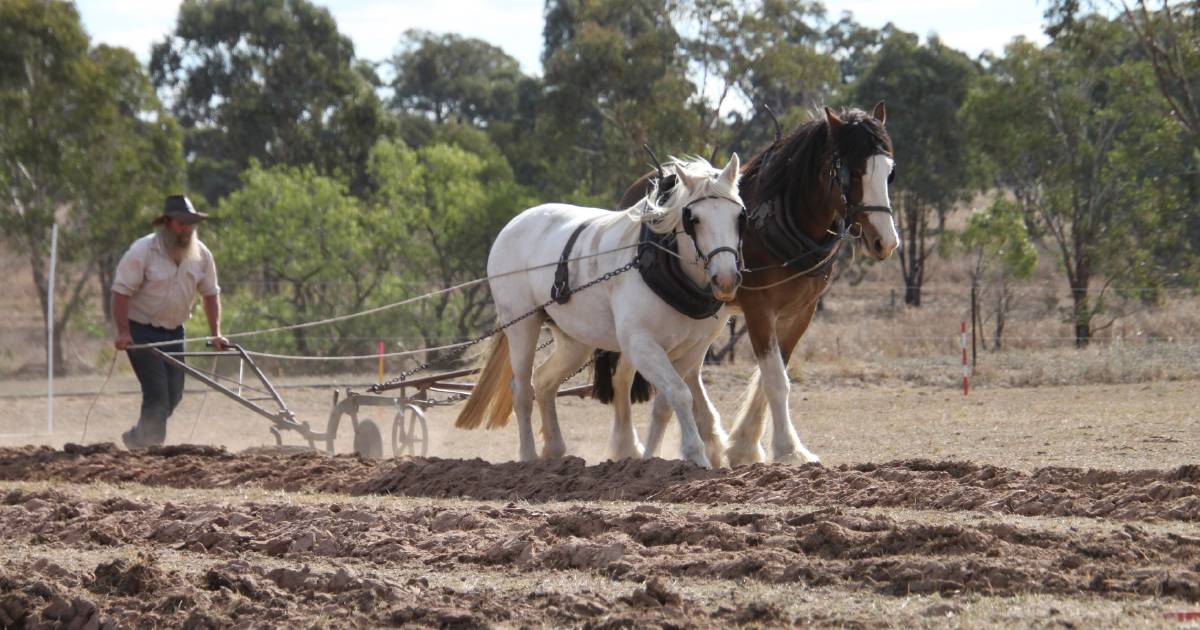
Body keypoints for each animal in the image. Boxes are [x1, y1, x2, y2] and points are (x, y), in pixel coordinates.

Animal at [456, 153, 739, 465]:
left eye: (739, 216)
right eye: (695, 219)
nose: (726, 279)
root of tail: (514, 223)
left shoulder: (694, 349)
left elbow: (667, 402)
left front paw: (649, 459)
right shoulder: (641, 344)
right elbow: (680, 393)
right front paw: (697, 457)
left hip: (575, 340)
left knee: (544, 381)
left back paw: (554, 449)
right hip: (521, 325)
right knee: (521, 390)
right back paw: (528, 456)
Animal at [604, 103, 897, 465]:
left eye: (890, 172)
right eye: (854, 172)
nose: (886, 241)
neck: (778, 219)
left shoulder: (801, 312)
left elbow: (772, 376)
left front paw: (746, 444)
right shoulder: (759, 308)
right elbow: (775, 380)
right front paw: (785, 449)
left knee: (689, 370)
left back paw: (711, 437)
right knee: (625, 375)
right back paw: (627, 446)